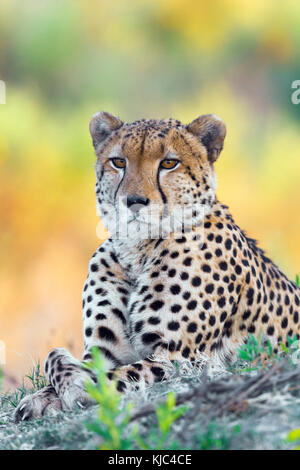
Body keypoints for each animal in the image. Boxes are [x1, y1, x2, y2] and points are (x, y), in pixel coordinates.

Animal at [14, 112, 300, 420]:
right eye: (118, 162)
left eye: (168, 163)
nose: (134, 201)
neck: (137, 251)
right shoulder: (106, 352)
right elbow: (54, 357)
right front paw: (41, 398)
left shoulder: (181, 358)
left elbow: (118, 373)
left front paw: (78, 388)